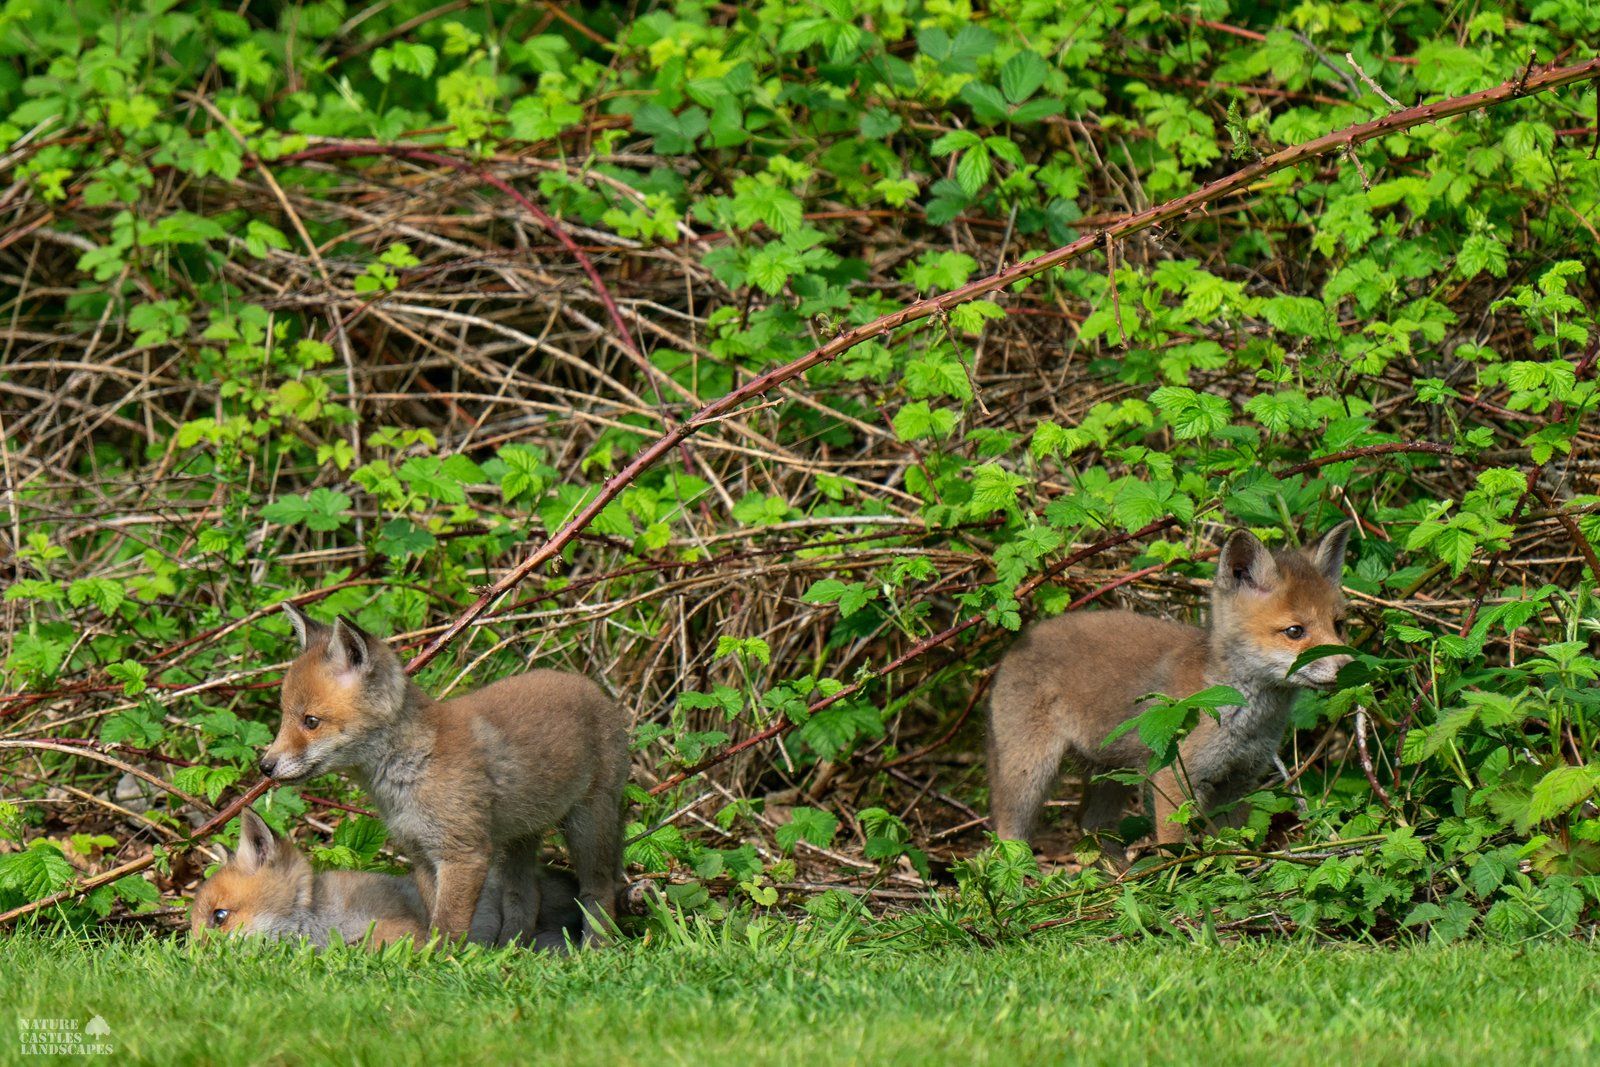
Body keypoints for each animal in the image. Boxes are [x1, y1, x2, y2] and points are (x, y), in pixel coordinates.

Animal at [259, 604, 630, 944]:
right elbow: (432, 916)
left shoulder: (463, 855)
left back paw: (595, 947)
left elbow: (448, 925)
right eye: (284, 716)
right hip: (520, 837)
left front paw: (439, 962)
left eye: (310, 721)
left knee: (599, 891)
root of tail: (592, 687)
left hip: (587, 825)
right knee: (526, 896)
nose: (264, 766)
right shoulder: (422, 855)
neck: (410, 772)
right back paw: (511, 950)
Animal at [986, 523, 1353, 849]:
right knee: (1009, 834)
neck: (1242, 719)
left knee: (1090, 825)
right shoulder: (1173, 778)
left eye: (1338, 626)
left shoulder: (1238, 782)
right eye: (1295, 632)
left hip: (1113, 774)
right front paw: (1176, 880)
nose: (1348, 667)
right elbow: (1175, 849)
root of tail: (1018, 641)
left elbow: (1232, 846)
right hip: (1031, 771)